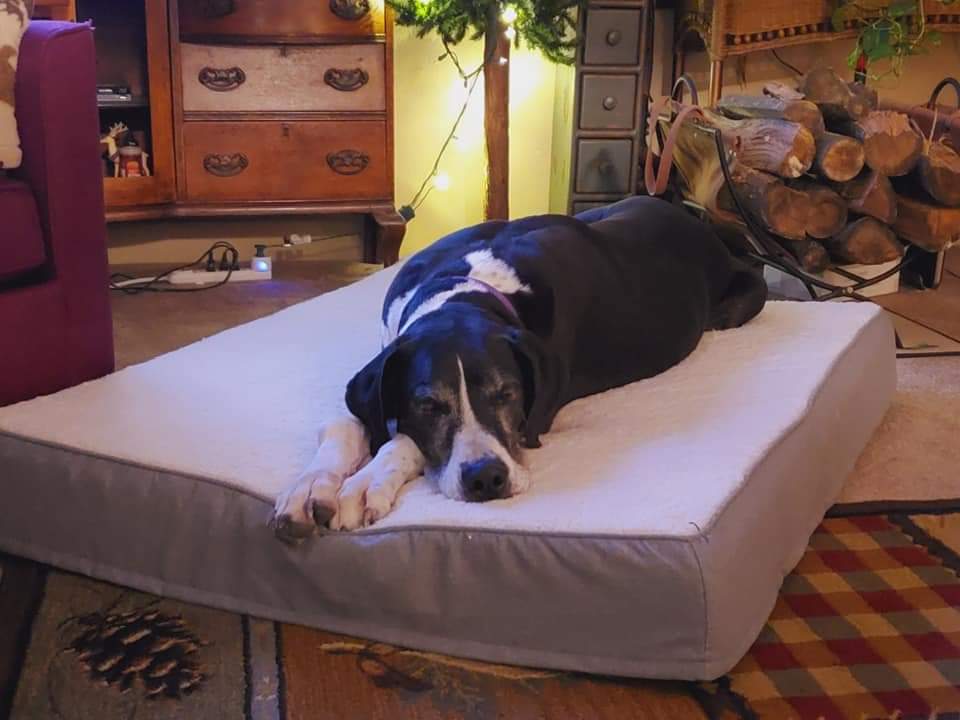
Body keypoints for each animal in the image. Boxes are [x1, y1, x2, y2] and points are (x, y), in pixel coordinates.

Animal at [271, 196, 767, 539]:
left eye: (507, 393)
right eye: (428, 404)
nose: (486, 478)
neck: (465, 289)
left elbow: (402, 442)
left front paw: (365, 482)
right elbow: (347, 424)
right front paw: (309, 489)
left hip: (739, 295)